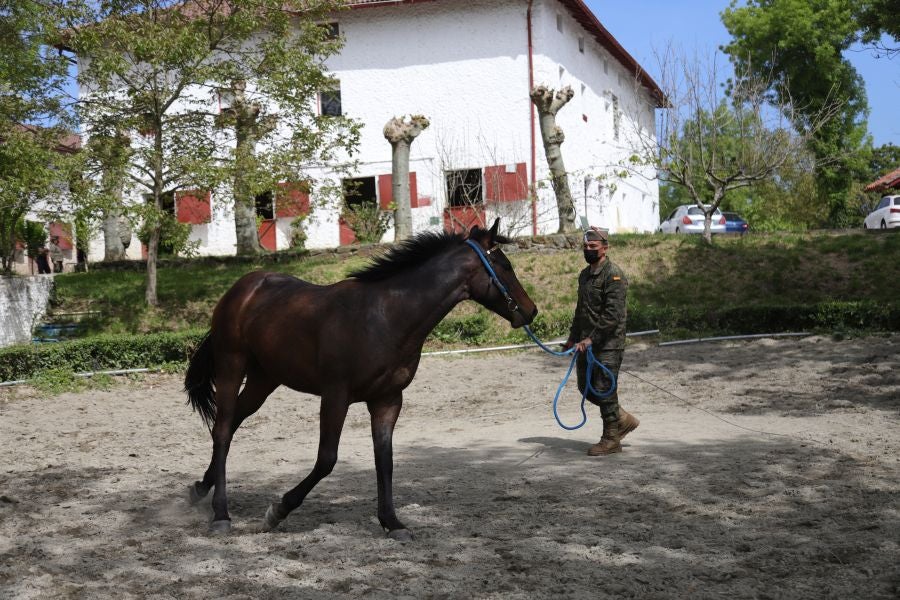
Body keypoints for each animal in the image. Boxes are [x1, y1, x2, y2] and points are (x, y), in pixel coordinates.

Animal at [183, 218, 536, 536]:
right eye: (504, 266)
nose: (530, 311)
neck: (385, 316)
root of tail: (243, 288)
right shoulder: (335, 396)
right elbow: (327, 459)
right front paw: (278, 511)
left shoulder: (387, 400)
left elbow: (385, 460)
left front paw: (392, 523)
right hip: (231, 367)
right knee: (222, 430)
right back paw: (220, 515)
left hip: (264, 379)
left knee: (232, 424)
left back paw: (200, 488)